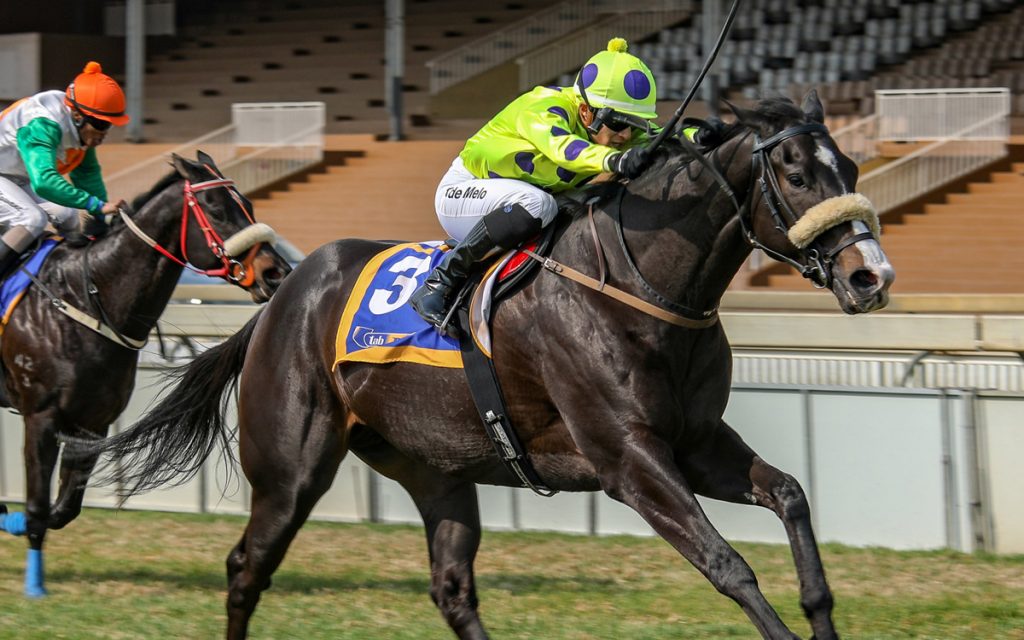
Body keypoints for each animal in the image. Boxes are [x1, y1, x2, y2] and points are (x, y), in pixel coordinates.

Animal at [0, 151, 292, 597]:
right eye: (217, 209)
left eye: (248, 205)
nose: (276, 273)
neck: (83, 297)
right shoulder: (41, 416)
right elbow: (35, 507)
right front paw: (35, 584)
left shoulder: (92, 422)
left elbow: (63, 508)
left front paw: (8, 515)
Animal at [75, 92, 894, 639]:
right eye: (796, 174)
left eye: (852, 165)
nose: (870, 277)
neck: (640, 286)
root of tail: (281, 300)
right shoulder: (629, 460)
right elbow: (728, 565)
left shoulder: (695, 443)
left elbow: (789, 496)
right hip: (290, 469)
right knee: (247, 568)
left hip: (433, 468)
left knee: (451, 587)